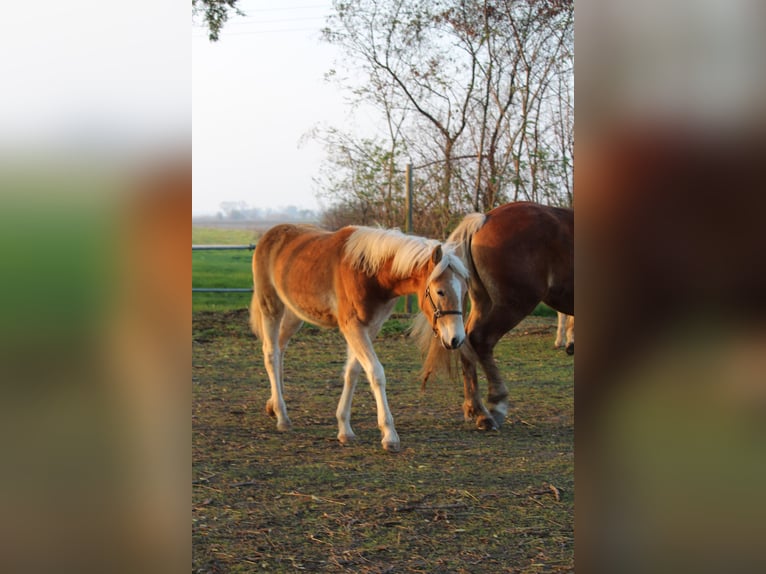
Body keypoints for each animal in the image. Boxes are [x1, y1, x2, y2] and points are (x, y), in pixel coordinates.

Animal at [250, 223, 468, 452]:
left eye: (464, 291)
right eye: (440, 291)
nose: (456, 339)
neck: (369, 273)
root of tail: (272, 233)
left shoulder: (370, 327)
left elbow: (352, 372)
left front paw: (344, 428)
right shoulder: (353, 327)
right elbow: (376, 373)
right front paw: (389, 434)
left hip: (295, 314)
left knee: (280, 349)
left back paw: (273, 404)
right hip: (271, 306)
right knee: (271, 354)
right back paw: (282, 416)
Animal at [416, 202, 572, 432]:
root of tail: (484, 218)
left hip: (483, 303)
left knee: (466, 341)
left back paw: (476, 408)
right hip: (513, 304)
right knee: (481, 339)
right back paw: (495, 406)